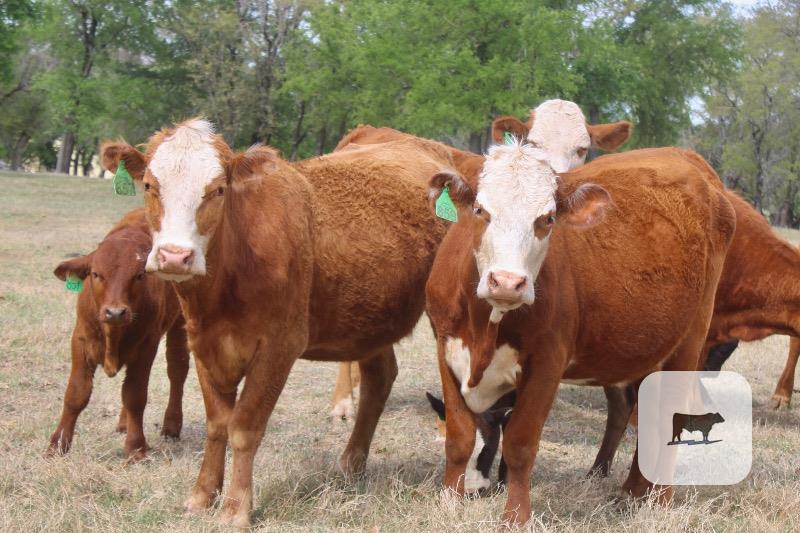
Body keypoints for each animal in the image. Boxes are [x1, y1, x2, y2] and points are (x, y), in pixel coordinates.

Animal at [47, 209, 189, 460]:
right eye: (95, 274)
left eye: (140, 276)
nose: (115, 312)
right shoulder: (80, 339)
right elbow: (76, 393)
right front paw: (58, 445)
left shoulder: (147, 346)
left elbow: (135, 396)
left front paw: (136, 448)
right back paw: (124, 424)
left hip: (180, 323)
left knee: (177, 371)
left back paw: (171, 426)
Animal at [98, 118, 461, 527]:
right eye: (149, 185)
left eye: (218, 189)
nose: (175, 256)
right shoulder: (204, 343)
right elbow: (217, 424)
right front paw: (203, 496)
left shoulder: (278, 348)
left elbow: (244, 426)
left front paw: (236, 508)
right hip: (370, 320)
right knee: (379, 379)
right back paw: (351, 464)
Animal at [425, 143, 735, 525]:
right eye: (481, 210)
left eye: (547, 219)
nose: (508, 282)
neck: (486, 324)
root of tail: (689, 158)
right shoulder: (445, 348)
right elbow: (460, 436)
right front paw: (449, 501)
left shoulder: (546, 363)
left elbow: (520, 444)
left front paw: (516, 517)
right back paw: (632, 491)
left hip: (689, 341)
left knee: (670, 412)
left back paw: (660, 500)